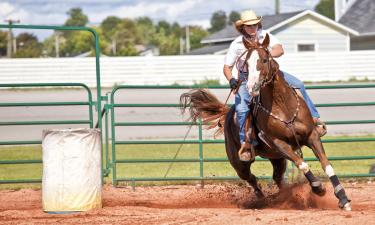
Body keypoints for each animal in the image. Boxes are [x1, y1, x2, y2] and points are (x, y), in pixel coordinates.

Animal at [182, 34, 352, 210]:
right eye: (246, 63)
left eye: (264, 59)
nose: (251, 86)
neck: (283, 106)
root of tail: (228, 113)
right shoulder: (279, 143)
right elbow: (302, 163)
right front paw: (318, 188)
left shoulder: (312, 136)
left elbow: (326, 164)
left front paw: (342, 198)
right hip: (239, 163)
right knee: (251, 178)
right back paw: (262, 199)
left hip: (276, 158)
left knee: (277, 178)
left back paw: (286, 197)